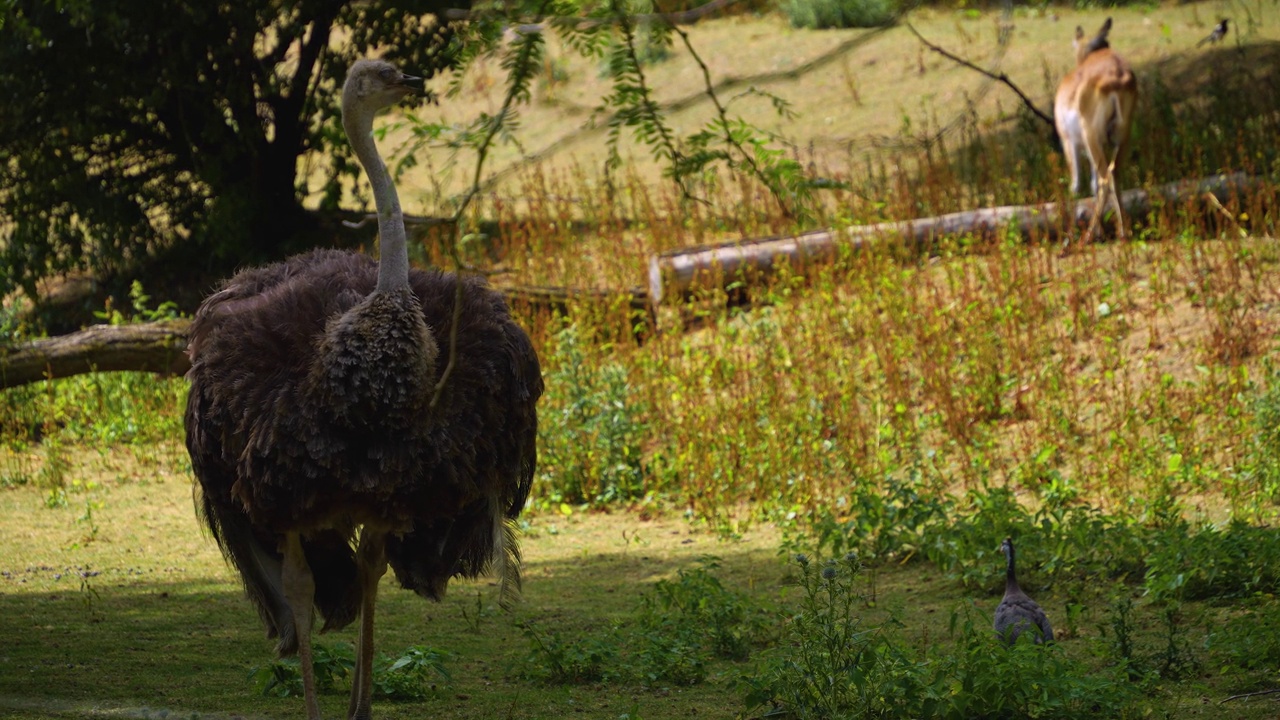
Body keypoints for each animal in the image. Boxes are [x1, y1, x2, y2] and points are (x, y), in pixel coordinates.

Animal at [1054, 18, 1136, 242]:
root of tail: (1117, 79)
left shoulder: (1069, 142)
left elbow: (1076, 184)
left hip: (1092, 137)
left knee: (1104, 178)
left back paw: (1089, 235)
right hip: (1122, 137)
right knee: (1113, 174)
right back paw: (1123, 231)